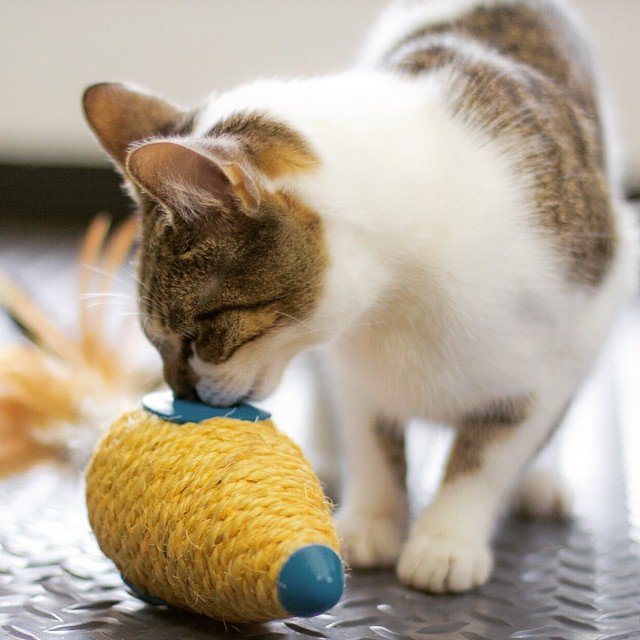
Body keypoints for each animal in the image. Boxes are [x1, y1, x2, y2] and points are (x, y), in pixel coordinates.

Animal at [84, 0, 636, 596]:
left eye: (198, 331)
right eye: (154, 340)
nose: (180, 396)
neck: (404, 291)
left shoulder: (559, 355)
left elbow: (488, 456)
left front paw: (448, 537)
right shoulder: (351, 366)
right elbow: (371, 440)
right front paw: (373, 520)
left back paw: (540, 479)